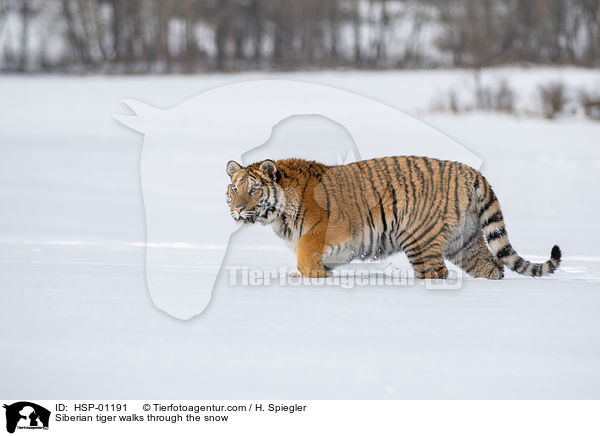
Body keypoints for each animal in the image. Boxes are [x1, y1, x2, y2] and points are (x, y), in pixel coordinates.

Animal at [224, 157, 556, 280]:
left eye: (253, 190)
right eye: (235, 189)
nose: (238, 209)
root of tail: (470, 171)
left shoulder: (331, 229)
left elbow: (306, 254)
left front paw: (312, 276)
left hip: (420, 240)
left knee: (436, 273)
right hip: (465, 241)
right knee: (493, 265)